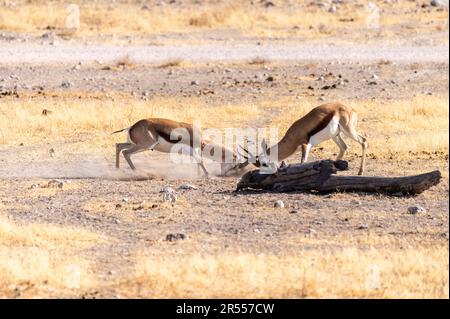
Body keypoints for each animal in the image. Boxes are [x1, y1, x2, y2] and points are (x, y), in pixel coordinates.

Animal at [237, 102, 368, 176]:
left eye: (264, 163)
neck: (293, 135)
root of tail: (351, 108)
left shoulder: (305, 145)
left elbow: (302, 162)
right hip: (335, 135)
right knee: (344, 147)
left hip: (348, 130)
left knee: (363, 141)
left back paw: (360, 172)